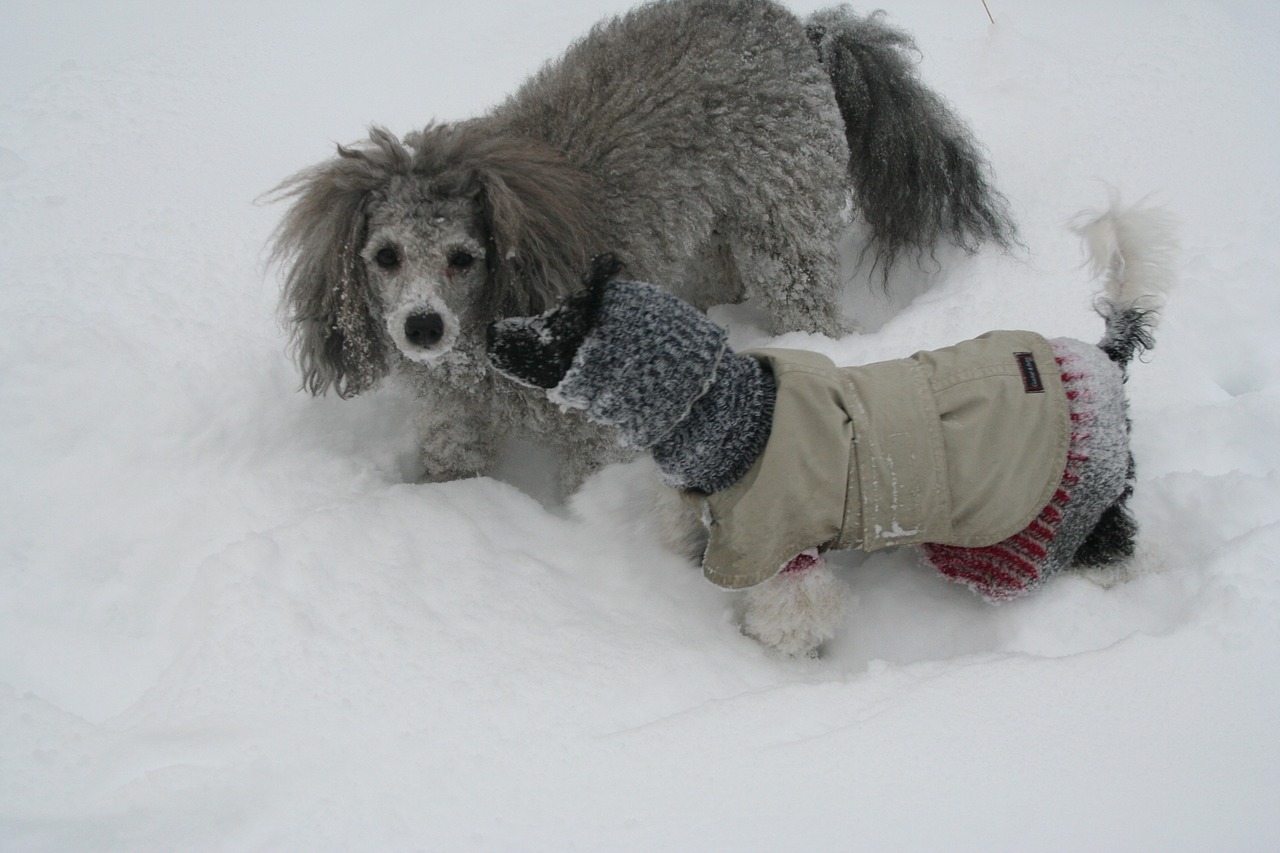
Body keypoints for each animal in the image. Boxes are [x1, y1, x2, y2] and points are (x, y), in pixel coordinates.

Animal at [486, 202, 1177, 653]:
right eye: (552, 310)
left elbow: (790, 618)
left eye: (559, 329)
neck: (729, 419)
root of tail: (1102, 360)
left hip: (1033, 524)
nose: (491, 331)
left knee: (1118, 550)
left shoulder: (784, 550)